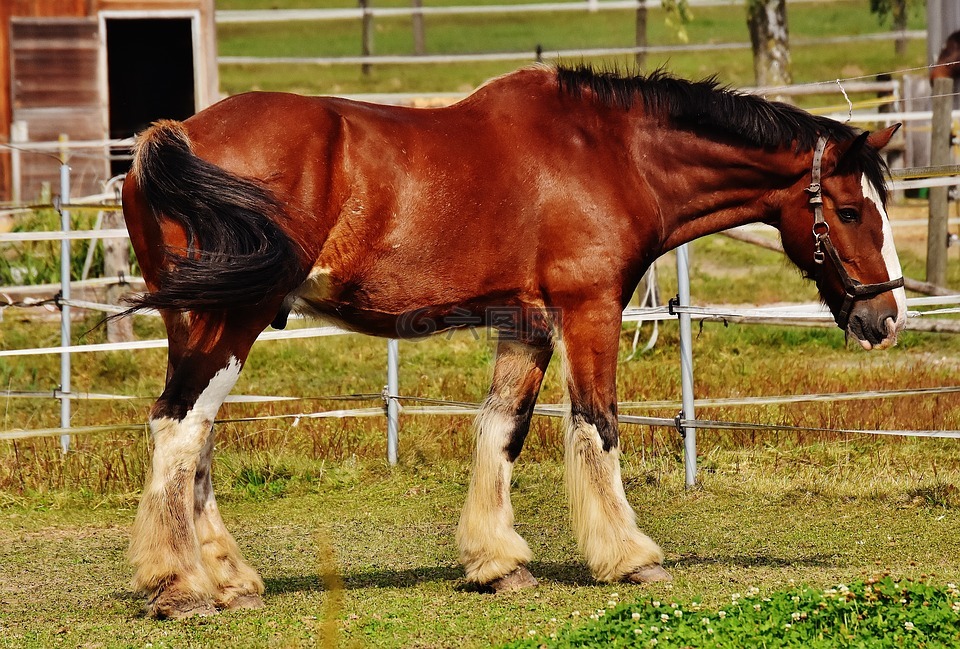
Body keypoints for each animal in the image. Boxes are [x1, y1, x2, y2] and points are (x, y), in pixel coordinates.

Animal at [120, 66, 908, 616]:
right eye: (848, 210)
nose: (888, 316)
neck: (610, 152)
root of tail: (173, 137)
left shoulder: (524, 324)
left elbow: (501, 429)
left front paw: (497, 562)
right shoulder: (589, 311)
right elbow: (598, 425)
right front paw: (629, 556)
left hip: (198, 320)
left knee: (193, 437)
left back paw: (228, 579)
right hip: (235, 318)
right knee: (180, 426)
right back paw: (181, 585)